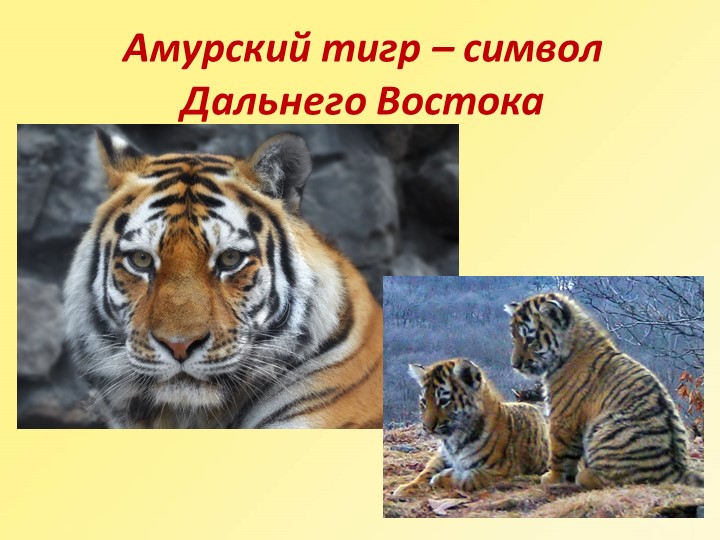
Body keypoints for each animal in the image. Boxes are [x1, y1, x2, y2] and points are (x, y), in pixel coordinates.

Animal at [392, 358, 549, 497]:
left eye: (443, 401)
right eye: (424, 402)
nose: (427, 427)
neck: (453, 439)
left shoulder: (501, 471)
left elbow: (469, 477)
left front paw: (439, 478)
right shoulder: (441, 456)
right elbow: (426, 471)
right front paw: (405, 488)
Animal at [505, 292, 703, 488]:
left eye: (530, 340)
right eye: (513, 338)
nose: (514, 365)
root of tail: (676, 471)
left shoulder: (563, 416)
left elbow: (559, 453)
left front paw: (552, 478)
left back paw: (584, 475)